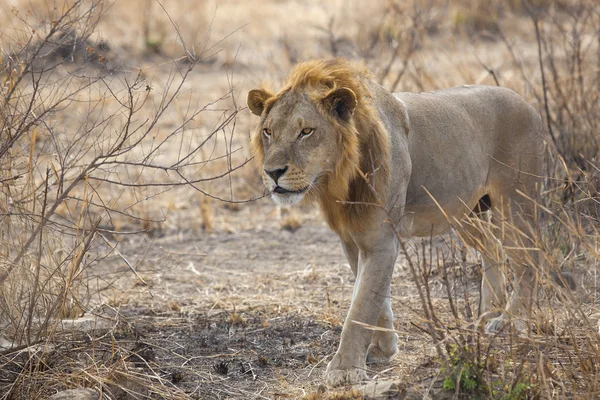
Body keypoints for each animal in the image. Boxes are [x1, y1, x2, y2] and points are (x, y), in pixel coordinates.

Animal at [246, 57, 548, 386]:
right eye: (268, 131)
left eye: (306, 131)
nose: (272, 172)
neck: (340, 177)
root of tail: (528, 104)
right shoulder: (353, 240)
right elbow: (374, 299)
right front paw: (382, 348)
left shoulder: (380, 241)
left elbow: (362, 305)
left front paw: (345, 368)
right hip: (466, 212)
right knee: (493, 248)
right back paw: (486, 316)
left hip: (515, 205)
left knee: (530, 260)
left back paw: (509, 321)